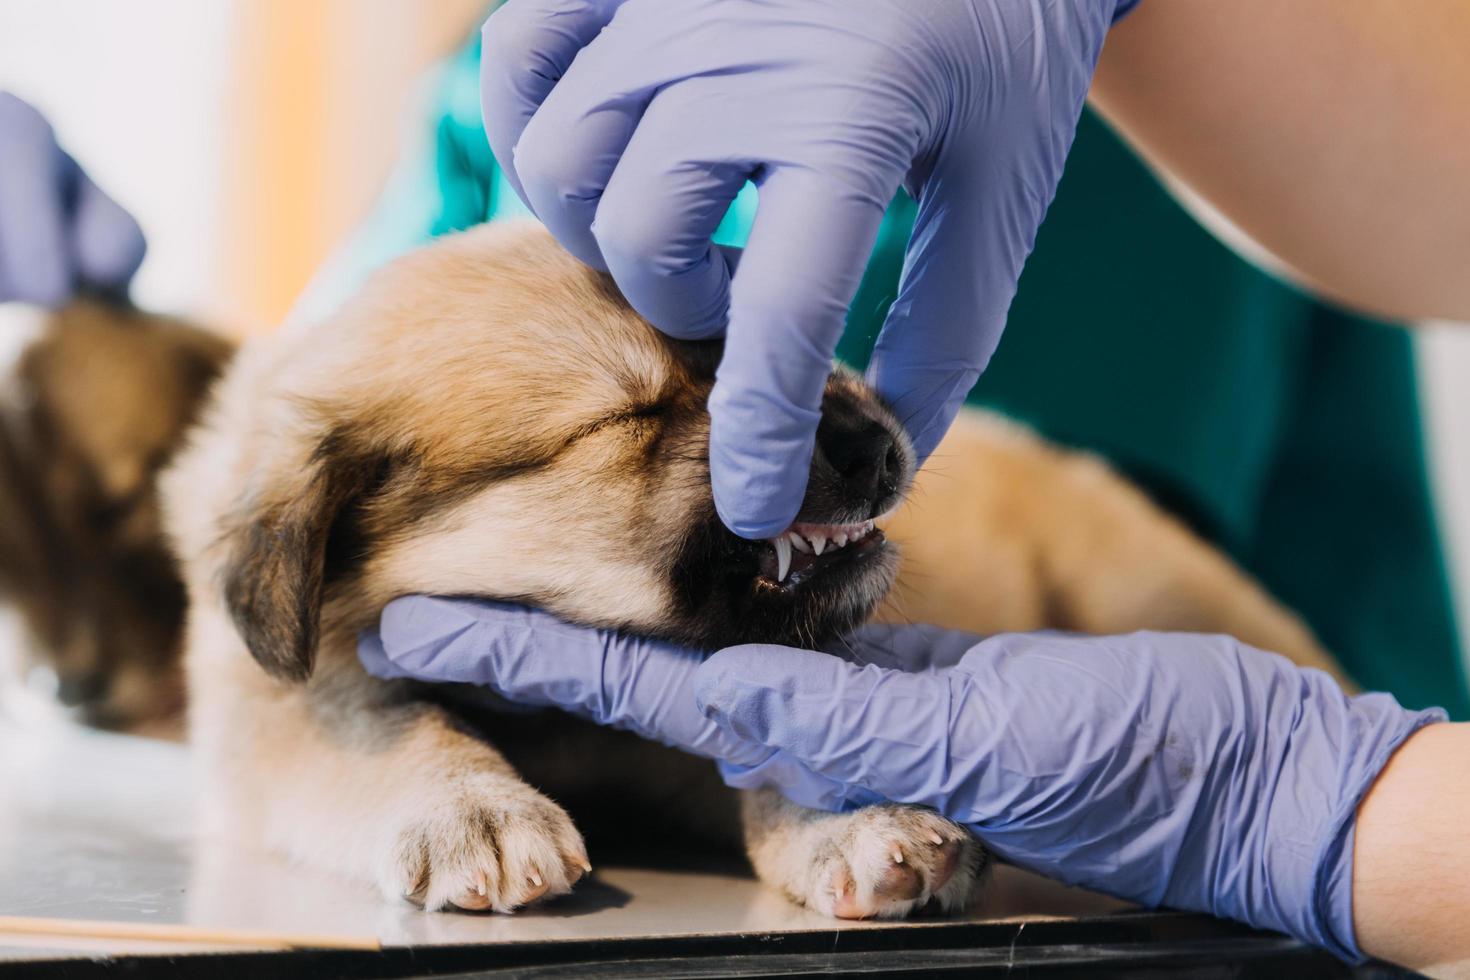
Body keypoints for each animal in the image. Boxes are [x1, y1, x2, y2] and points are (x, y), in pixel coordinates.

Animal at [158, 221, 1346, 922]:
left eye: (769, 346)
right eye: (632, 415)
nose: (878, 440)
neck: (561, 726)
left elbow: (775, 749)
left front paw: (855, 825)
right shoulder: (279, 701)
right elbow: (386, 723)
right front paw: (471, 807)